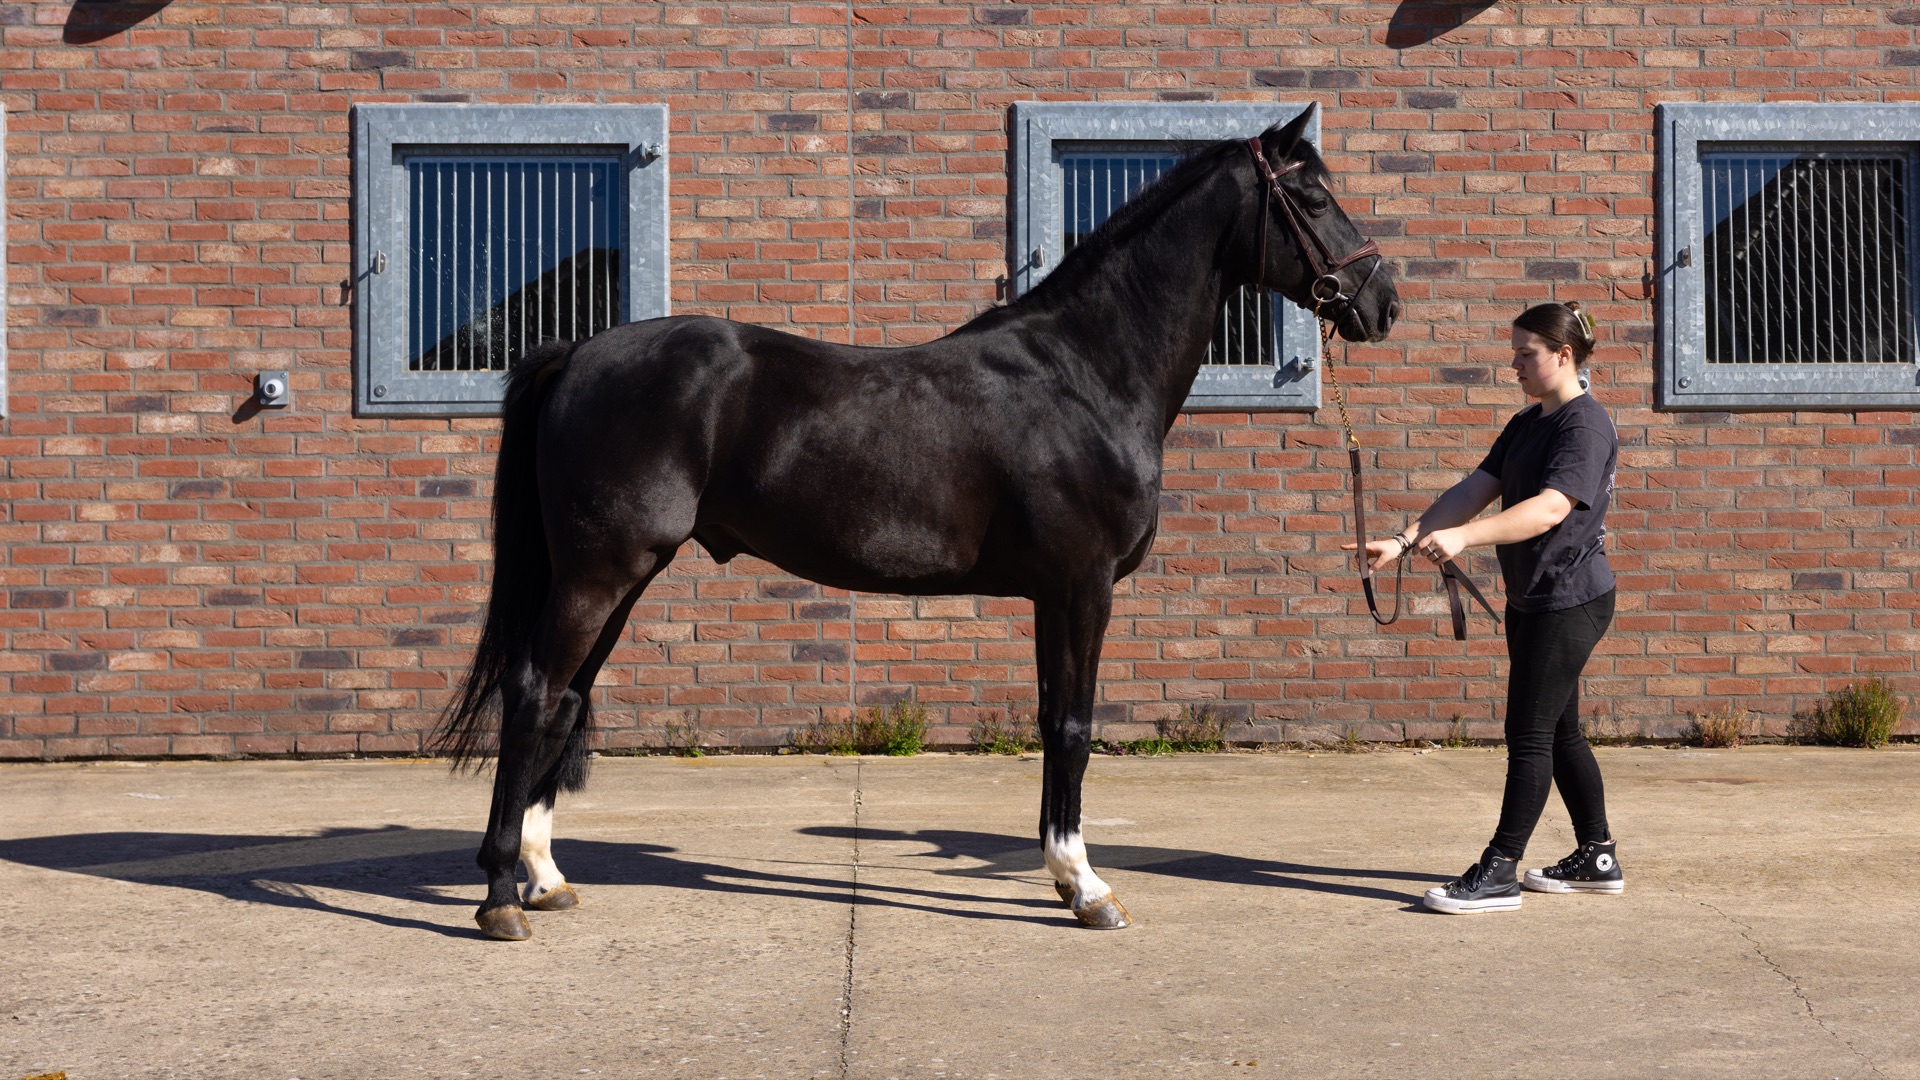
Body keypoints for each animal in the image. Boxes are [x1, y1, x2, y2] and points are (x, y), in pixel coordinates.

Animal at [436, 104, 1400, 941]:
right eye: (1315, 199)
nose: (1382, 300)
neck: (1086, 373)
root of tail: (575, 353)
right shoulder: (1080, 586)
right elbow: (1074, 726)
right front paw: (1086, 888)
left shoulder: (1051, 595)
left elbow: (1051, 721)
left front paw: (1063, 876)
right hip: (600, 572)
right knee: (534, 693)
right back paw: (500, 897)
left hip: (619, 576)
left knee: (565, 699)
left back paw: (546, 877)